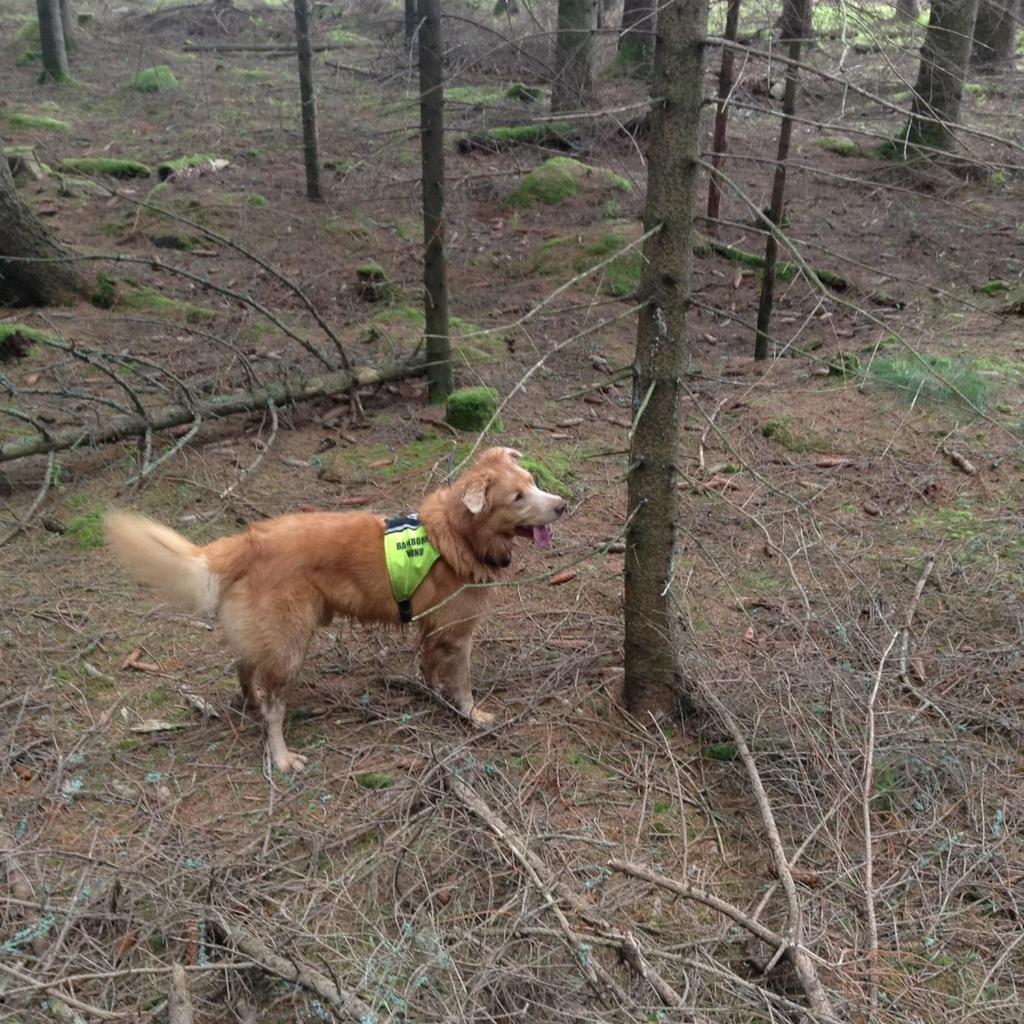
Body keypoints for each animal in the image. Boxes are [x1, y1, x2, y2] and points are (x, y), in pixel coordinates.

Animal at [104, 444, 569, 770]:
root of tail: (249, 541)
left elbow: (430, 669)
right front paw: (473, 715)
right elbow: (462, 684)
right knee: (273, 707)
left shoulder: (433, 631)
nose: (562, 505)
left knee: (245, 669)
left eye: (534, 481)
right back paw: (281, 756)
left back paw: (250, 704)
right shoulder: (457, 633)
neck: (458, 534)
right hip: (291, 645)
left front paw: (434, 695)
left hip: (268, 639)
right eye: (517, 497)